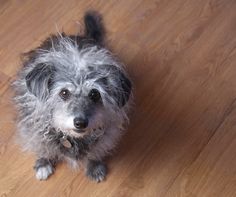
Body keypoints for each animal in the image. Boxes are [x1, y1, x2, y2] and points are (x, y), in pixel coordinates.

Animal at [13, 11, 133, 182]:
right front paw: (43, 163)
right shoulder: (34, 131)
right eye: (64, 92)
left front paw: (95, 165)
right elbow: (42, 148)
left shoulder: (106, 134)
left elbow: (96, 150)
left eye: (95, 94)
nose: (80, 123)